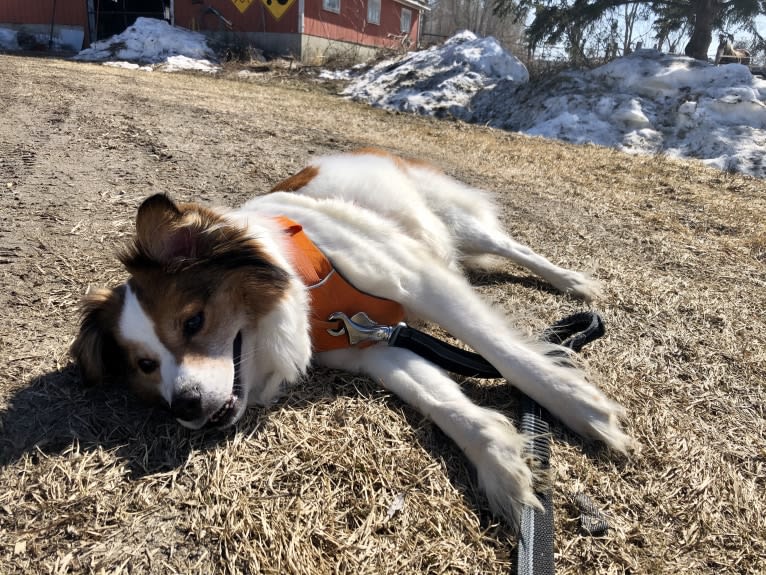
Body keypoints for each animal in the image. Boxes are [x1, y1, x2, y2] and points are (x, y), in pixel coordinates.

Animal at [70, 150, 632, 532]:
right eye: (145, 366)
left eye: (193, 323)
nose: (184, 407)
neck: (304, 285)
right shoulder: (371, 344)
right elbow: (441, 401)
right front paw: (500, 465)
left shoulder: (420, 283)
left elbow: (506, 354)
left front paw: (578, 406)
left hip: (458, 222)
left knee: (514, 248)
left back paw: (572, 282)